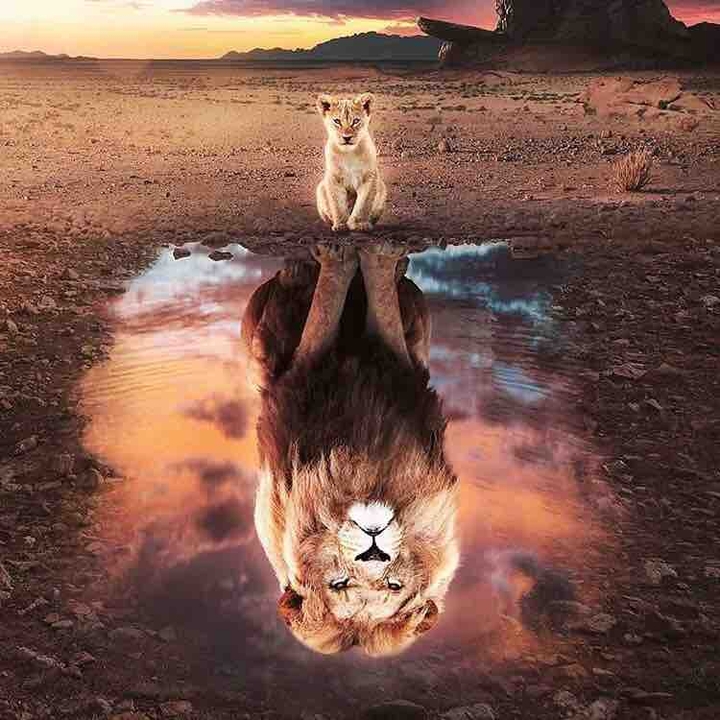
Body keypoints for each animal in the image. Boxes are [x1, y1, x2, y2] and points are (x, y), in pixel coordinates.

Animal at [242, 243, 459, 656]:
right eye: (339, 584)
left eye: (393, 585)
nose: (374, 549)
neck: (362, 473)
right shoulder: (303, 369)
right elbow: (327, 305)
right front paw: (341, 256)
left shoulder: (401, 365)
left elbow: (380, 307)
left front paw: (375, 257)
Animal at [316, 93, 387, 233]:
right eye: (337, 121)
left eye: (356, 121)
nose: (347, 137)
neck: (349, 153)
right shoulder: (334, 178)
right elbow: (337, 204)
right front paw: (341, 225)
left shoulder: (369, 177)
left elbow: (363, 204)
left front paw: (359, 224)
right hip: (320, 188)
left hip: (382, 187)